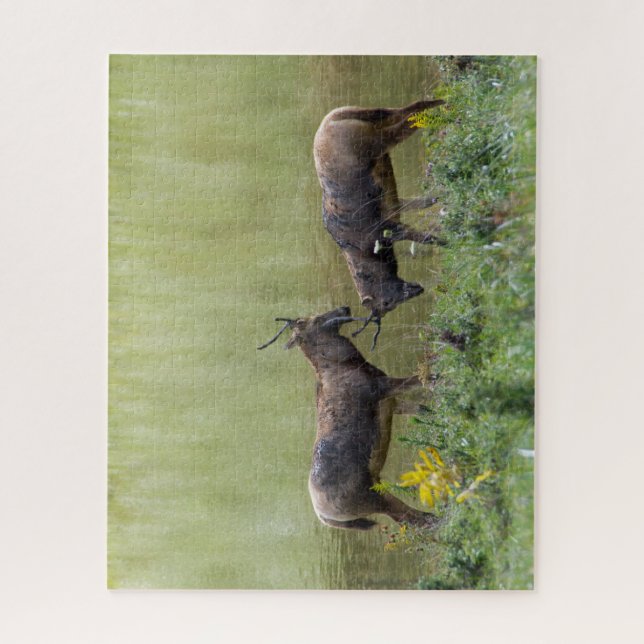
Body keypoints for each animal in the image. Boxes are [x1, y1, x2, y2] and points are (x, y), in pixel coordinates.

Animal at [258, 306, 436, 531]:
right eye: (302, 321)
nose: (343, 308)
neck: (346, 363)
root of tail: (324, 516)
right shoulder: (382, 388)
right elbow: (422, 379)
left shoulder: (390, 402)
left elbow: (422, 409)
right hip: (373, 499)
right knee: (412, 519)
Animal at [313, 100, 446, 347]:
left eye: (384, 303)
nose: (415, 288)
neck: (368, 253)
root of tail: (330, 121)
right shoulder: (395, 210)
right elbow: (421, 203)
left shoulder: (390, 229)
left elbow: (425, 237)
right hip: (374, 116)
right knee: (408, 109)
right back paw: (441, 102)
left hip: (375, 141)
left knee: (408, 121)